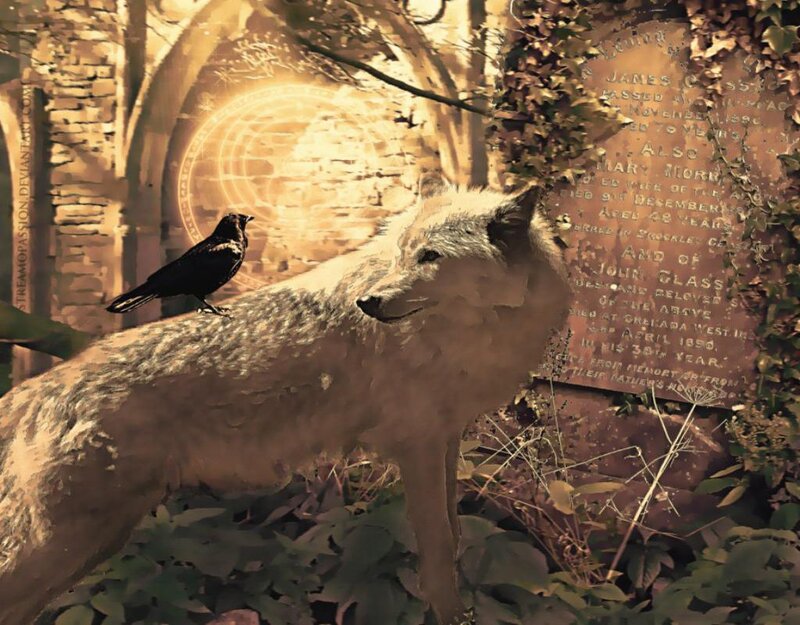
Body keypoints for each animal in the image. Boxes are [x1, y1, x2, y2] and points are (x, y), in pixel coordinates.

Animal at [0, 182, 572, 625]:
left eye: (430, 257)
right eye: (400, 257)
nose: (368, 303)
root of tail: (32, 393)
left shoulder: (443, 440)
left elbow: (453, 535)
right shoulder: (419, 446)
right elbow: (438, 555)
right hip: (69, 547)